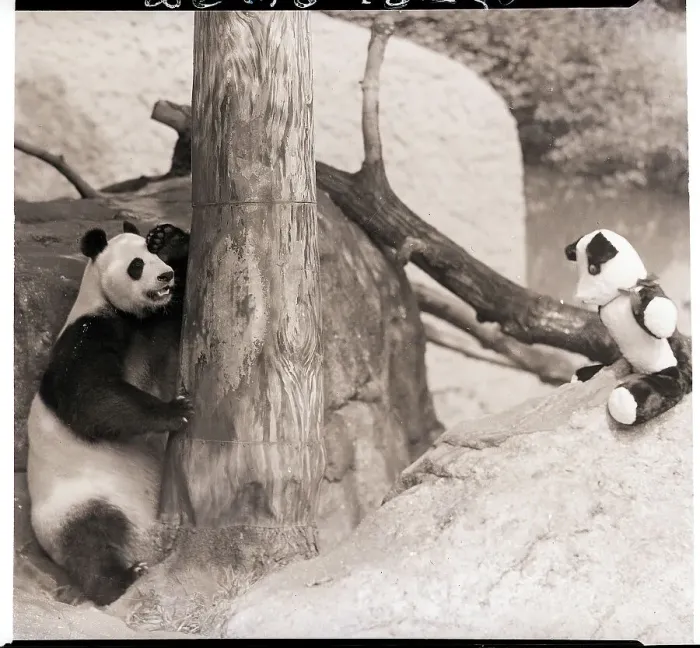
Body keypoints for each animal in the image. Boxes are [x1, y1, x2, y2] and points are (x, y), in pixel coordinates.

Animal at [26, 221, 193, 607]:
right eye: (136, 265)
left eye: (154, 255)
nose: (165, 275)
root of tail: (146, 545)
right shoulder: (88, 333)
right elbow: (90, 395)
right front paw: (176, 410)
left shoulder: (160, 321)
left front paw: (170, 237)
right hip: (76, 501)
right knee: (90, 539)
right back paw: (120, 579)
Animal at [564, 228, 692, 426]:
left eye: (593, 269)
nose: (580, 297)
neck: (620, 296)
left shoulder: (643, 292)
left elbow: (659, 312)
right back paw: (582, 375)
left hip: (670, 376)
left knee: (653, 390)